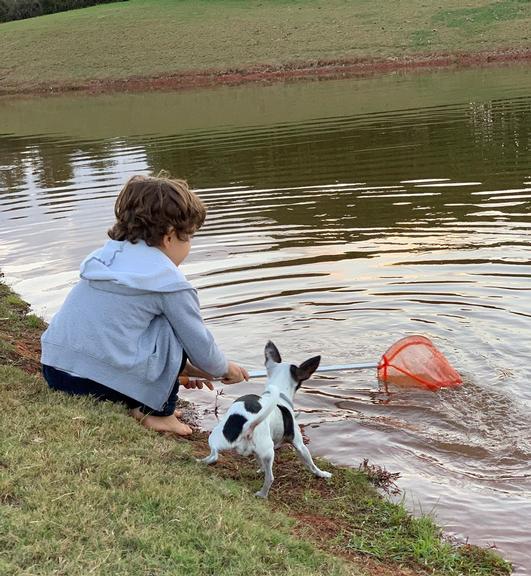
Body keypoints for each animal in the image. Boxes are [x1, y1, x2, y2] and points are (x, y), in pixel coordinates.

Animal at [201, 340, 332, 498]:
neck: (279, 392)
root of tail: (248, 426)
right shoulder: (299, 445)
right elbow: (311, 464)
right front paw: (322, 474)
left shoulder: (258, 453)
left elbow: (260, 462)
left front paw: (260, 469)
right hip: (269, 451)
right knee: (270, 478)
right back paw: (263, 494)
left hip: (215, 438)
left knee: (213, 455)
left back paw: (201, 461)